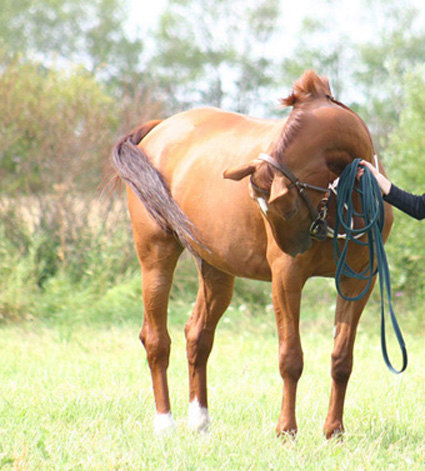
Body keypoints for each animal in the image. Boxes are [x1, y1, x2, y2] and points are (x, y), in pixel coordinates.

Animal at [112, 70, 390, 438]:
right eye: (268, 208)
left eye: (284, 207)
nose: (295, 246)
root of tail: (159, 129)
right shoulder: (286, 279)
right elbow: (291, 359)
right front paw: (286, 430)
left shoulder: (357, 281)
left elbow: (342, 359)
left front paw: (334, 432)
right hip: (157, 257)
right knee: (156, 339)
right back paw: (165, 422)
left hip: (215, 270)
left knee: (198, 335)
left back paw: (200, 421)